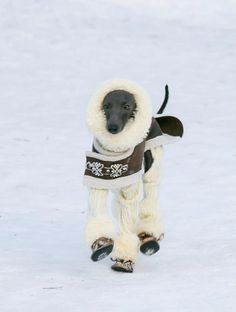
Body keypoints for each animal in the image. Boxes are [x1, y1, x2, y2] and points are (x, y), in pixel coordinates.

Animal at [84, 79, 183, 272]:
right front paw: (101, 244)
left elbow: (129, 213)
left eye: (127, 106)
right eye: (106, 106)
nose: (112, 128)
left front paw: (123, 260)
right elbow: (98, 209)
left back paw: (149, 235)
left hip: (153, 162)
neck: (115, 151)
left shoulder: (130, 186)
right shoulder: (97, 177)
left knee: (151, 192)